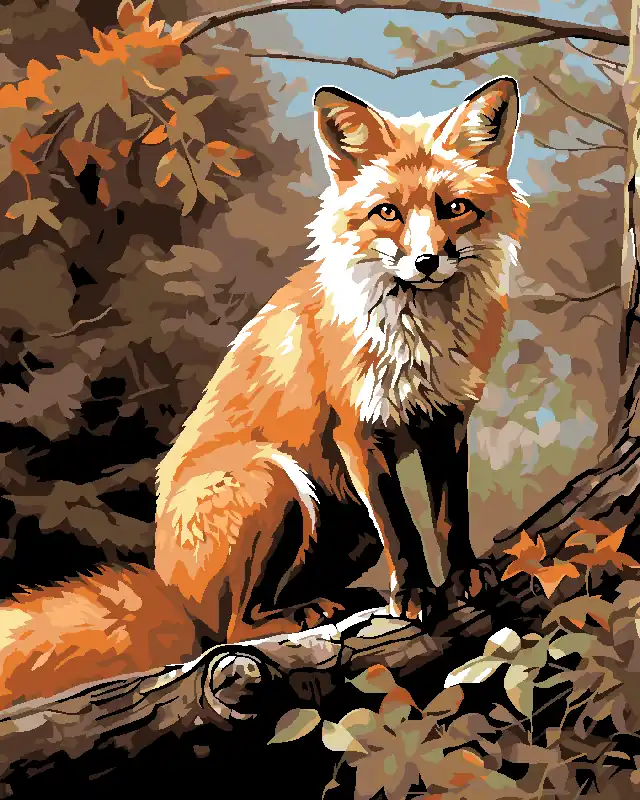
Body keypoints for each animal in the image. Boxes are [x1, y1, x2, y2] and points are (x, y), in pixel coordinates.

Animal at [0, 77, 527, 710]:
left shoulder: (446, 419)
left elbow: (451, 513)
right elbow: (402, 525)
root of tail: (171, 589)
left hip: (344, 522)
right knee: (230, 631)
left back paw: (336, 603)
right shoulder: (358, 428)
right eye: (388, 213)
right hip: (273, 481)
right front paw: (417, 595)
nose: (426, 261)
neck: (420, 337)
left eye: (454, 207)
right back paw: (306, 615)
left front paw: (463, 575)